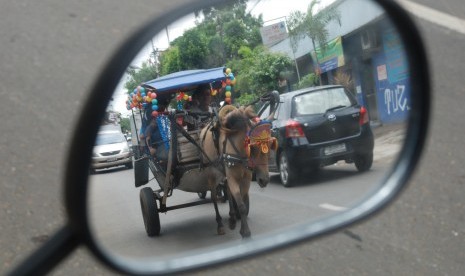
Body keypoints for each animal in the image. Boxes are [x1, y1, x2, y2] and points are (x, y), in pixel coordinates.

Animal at [198, 104, 276, 238]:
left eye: (271, 145)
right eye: (253, 147)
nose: (264, 180)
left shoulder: (246, 177)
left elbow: (242, 202)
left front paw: (237, 221)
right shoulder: (232, 177)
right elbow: (241, 204)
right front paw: (245, 231)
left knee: (228, 192)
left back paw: (232, 218)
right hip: (211, 174)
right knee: (214, 197)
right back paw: (220, 224)